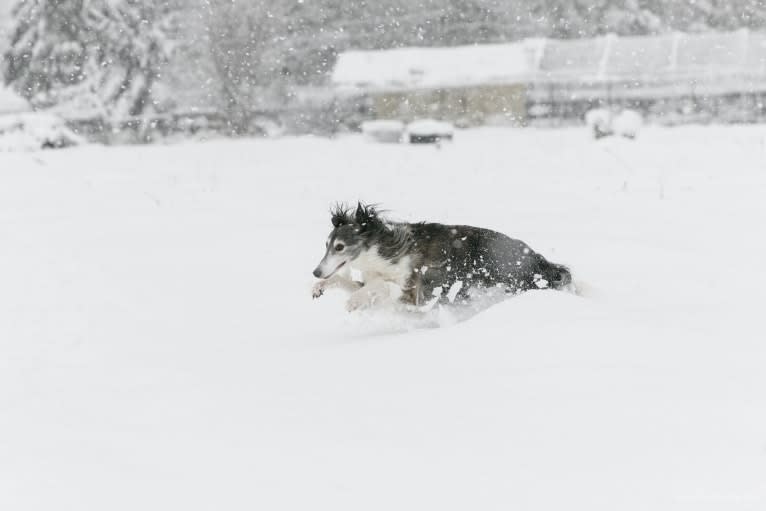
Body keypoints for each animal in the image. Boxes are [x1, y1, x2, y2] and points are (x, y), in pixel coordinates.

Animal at [310, 204, 568, 312]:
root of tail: (536, 259)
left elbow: (382, 286)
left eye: (340, 247)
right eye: (326, 245)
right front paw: (319, 286)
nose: (316, 271)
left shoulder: (414, 291)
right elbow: (350, 282)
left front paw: (353, 302)